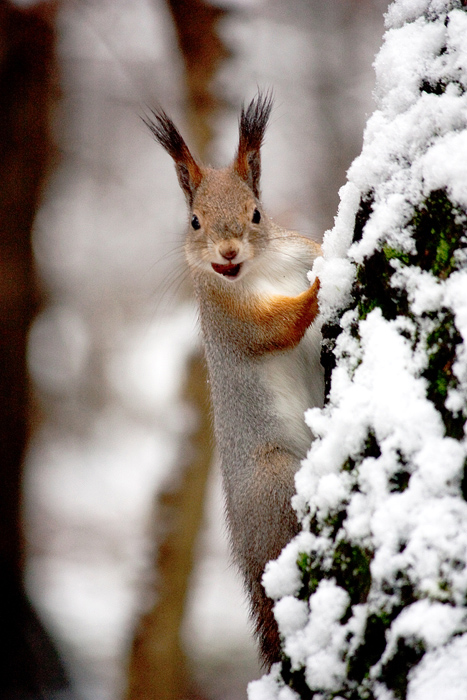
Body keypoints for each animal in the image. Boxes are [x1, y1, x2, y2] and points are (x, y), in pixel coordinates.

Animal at [146, 93, 326, 668]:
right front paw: (320, 289)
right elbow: (278, 326)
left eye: (256, 214)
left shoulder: (298, 248)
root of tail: (249, 559)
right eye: (194, 222)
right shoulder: (230, 318)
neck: (261, 270)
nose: (226, 253)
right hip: (274, 478)